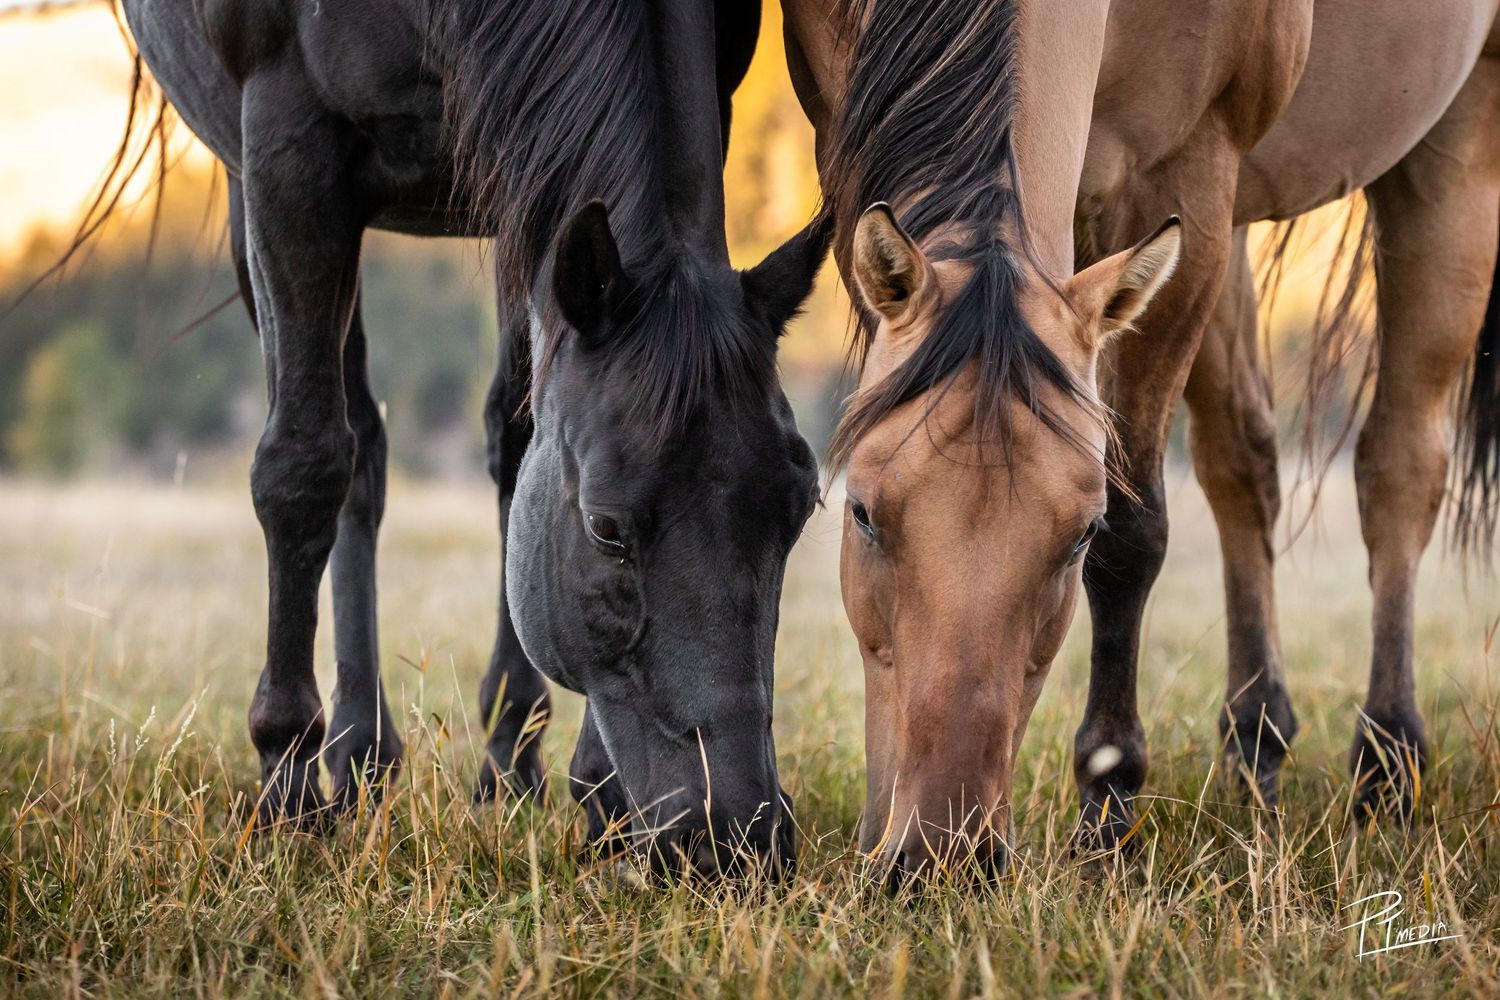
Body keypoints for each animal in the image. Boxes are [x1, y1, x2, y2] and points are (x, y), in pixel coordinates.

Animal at [118, 0, 829, 875]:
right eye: (606, 527)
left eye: (799, 510)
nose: (740, 838)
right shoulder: (287, 144)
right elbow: (301, 465)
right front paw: (286, 785)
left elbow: (521, 445)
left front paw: (596, 792)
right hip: (251, 184)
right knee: (350, 449)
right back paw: (350, 759)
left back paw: (485, 760)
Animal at [784, 0, 1500, 877]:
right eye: (860, 512)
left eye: (1079, 536)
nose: (943, 853)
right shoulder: (844, 138)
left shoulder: (1184, 174)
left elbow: (1137, 533)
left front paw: (1108, 796)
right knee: (1245, 463)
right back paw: (1256, 748)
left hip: (1451, 151)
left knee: (1398, 467)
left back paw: (1389, 765)